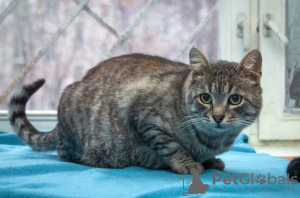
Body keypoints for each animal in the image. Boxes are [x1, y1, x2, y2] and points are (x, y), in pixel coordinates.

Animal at [8, 47, 262, 174]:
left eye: (235, 99)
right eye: (206, 98)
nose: (218, 117)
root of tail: (58, 126)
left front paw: (209, 160)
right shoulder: (146, 118)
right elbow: (172, 146)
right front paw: (187, 163)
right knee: (63, 153)